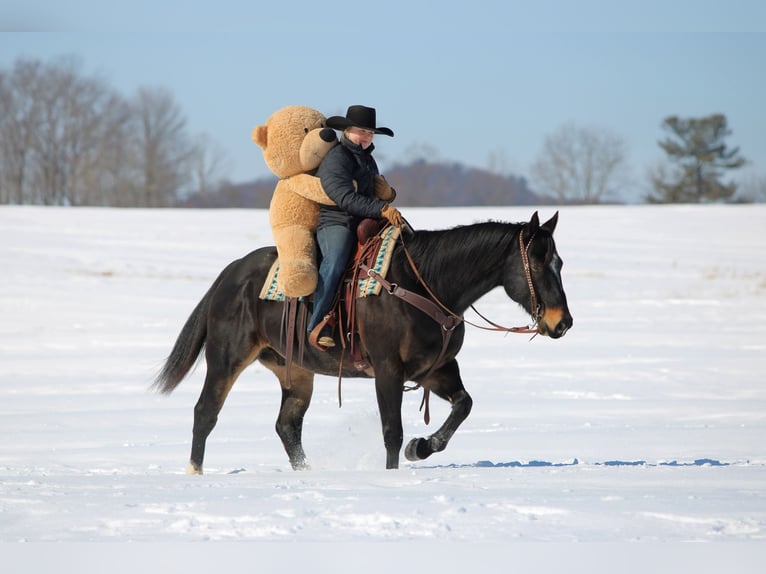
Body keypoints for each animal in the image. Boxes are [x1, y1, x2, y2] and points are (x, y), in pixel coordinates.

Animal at [153, 211, 572, 472]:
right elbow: (391, 431)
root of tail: (230, 274)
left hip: (295, 371)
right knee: (205, 412)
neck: (424, 283)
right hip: (227, 358)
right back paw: (194, 472)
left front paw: (421, 447)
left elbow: (463, 405)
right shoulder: (388, 369)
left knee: (287, 426)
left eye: (560, 262)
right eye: (537, 263)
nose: (562, 322)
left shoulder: (436, 369)